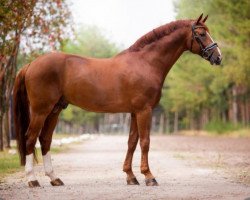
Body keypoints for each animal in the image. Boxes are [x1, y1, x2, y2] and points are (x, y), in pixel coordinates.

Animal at [13, 14, 222, 188]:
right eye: (201, 34)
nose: (218, 57)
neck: (145, 63)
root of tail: (31, 64)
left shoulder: (135, 112)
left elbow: (132, 142)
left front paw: (131, 176)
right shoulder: (144, 110)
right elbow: (145, 142)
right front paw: (149, 176)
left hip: (54, 111)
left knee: (45, 140)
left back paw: (54, 178)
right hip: (40, 111)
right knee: (30, 138)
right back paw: (32, 180)